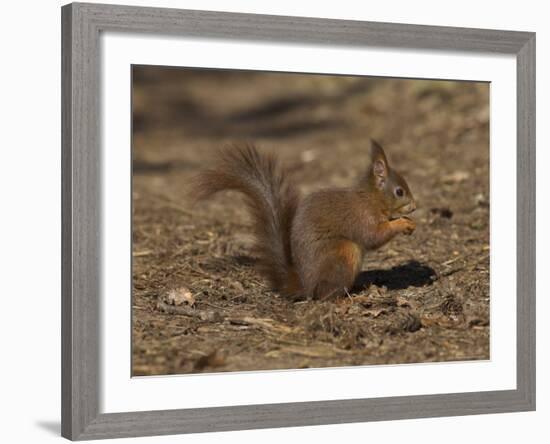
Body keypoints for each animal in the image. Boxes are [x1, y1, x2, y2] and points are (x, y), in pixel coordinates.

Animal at [192, 140, 416, 300]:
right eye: (399, 192)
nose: (414, 207)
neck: (371, 198)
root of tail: (305, 285)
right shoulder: (361, 216)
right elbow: (374, 236)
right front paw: (402, 223)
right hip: (344, 253)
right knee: (325, 295)